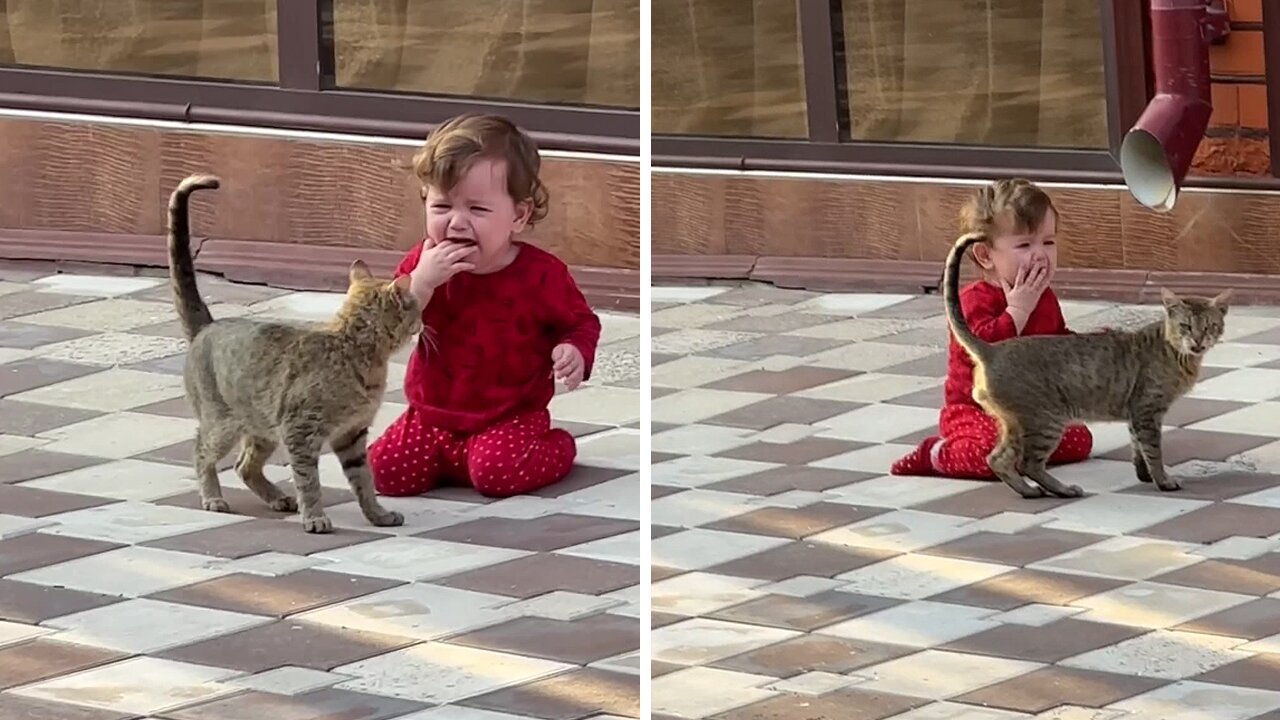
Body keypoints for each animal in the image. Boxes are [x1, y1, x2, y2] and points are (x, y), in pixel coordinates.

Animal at [166, 172, 419, 530]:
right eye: (416, 307)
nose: (422, 320)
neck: (355, 350)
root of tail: (207, 325)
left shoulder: (352, 434)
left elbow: (364, 481)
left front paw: (377, 514)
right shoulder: (300, 430)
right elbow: (308, 481)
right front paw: (314, 517)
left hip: (262, 425)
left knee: (245, 465)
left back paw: (277, 498)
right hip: (223, 423)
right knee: (201, 450)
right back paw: (213, 497)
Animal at [942, 230, 1228, 499]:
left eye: (1209, 326)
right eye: (1186, 326)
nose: (1198, 341)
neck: (1176, 353)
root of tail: (991, 350)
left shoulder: (1135, 414)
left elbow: (1138, 448)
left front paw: (1144, 475)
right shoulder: (1147, 410)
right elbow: (1154, 451)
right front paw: (1164, 481)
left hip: (1016, 424)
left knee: (998, 460)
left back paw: (1029, 491)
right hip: (1046, 420)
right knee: (1027, 463)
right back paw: (1062, 489)